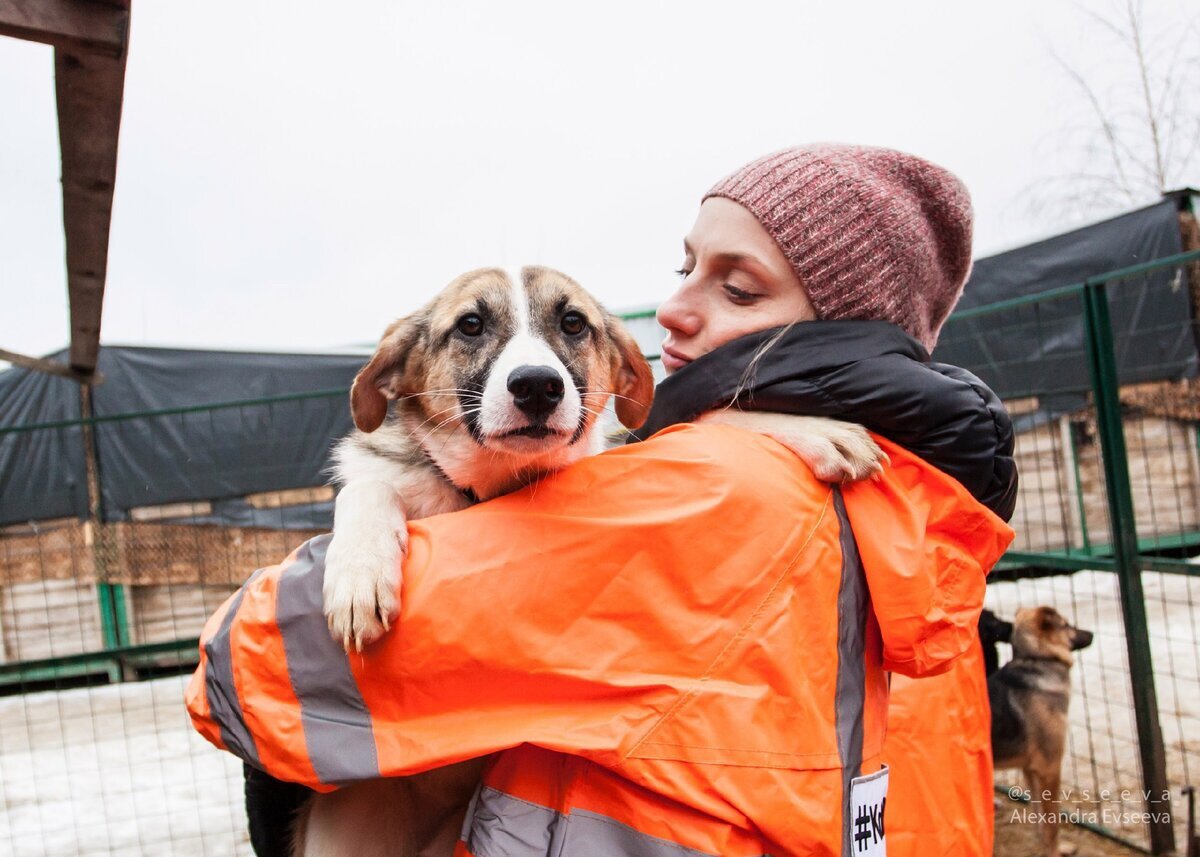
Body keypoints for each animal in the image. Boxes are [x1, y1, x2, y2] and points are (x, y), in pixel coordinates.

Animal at [988, 604, 1094, 849]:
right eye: (1066, 624)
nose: (1092, 634)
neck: (1035, 659)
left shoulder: (1029, 769)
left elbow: (1039, 819)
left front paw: (1044, 846)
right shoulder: (1049, 769)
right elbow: (1052, 823)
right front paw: (1055, 849)